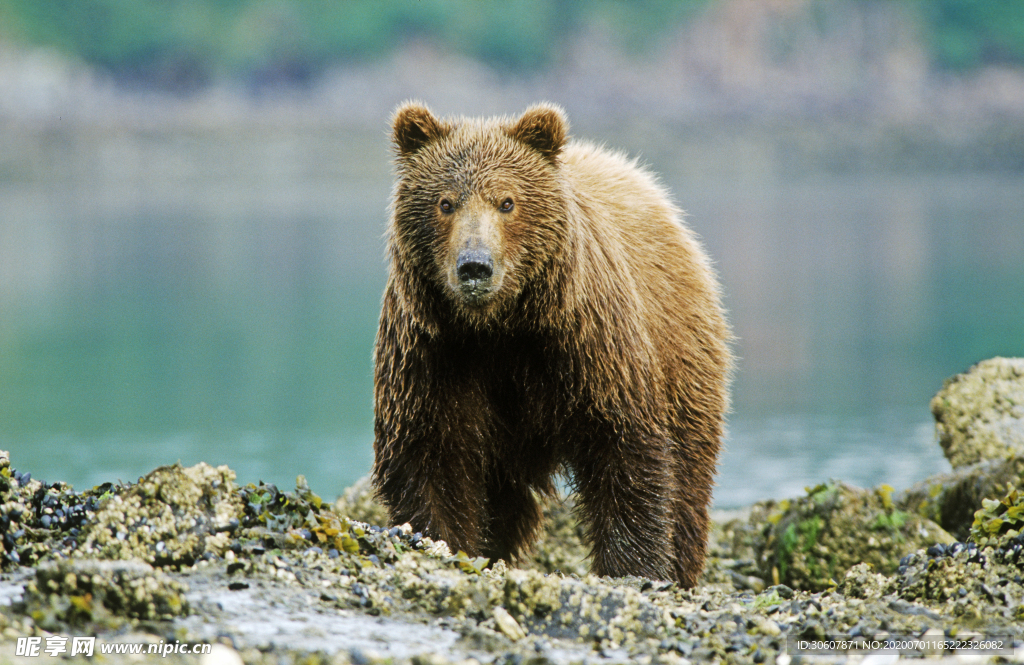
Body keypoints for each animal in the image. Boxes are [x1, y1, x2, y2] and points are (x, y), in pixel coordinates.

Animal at [372, 99, 733, 586]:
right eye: (445, 202)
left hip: (682, 355)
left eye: (507, 201)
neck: (499, 328)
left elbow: (625, 450)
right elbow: (430, 457)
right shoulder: (435, 355)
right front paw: (440, 541)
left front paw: (634, 567)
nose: (474, 266)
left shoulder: (587, 344)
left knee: (689, 472)